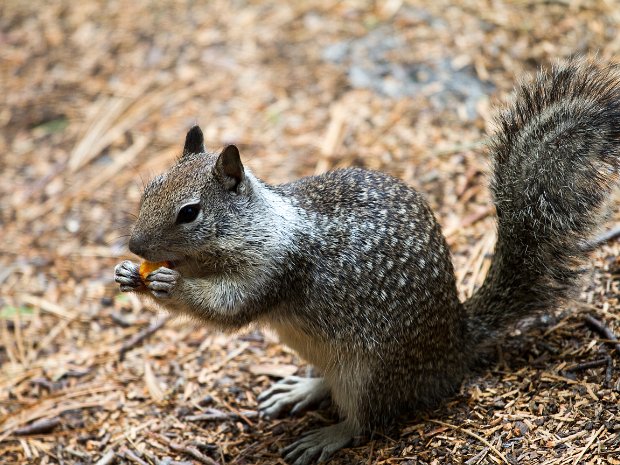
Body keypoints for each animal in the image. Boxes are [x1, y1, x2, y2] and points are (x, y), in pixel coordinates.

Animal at [114, 61, 620, 464]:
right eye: (149, 187)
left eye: (189, 213)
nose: (135, 246)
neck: (260, 223)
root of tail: (454, 346)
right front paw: (129, 275)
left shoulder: (274, 268)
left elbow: (227, 310)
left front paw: (170, 286)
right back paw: (302, 389)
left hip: (369, 374)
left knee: (365, 420)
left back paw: (328, 434)